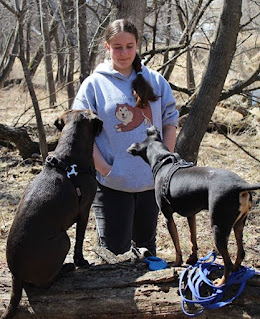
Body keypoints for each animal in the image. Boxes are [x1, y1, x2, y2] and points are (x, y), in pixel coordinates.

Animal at [2, 109, 103, 318]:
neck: (68, 160)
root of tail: (16, 275)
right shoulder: (84, 210)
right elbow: (80, 241)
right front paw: (81, 262)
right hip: (64, 240)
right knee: (45, 283)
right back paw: (66, 268)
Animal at [127, 126, 260, 286]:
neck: (164, 161)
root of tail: (240, 186)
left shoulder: (167, 217)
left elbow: (177, 244)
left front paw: (177, 263)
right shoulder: (191, 214)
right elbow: (193, 238)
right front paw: (193, 259)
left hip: (218, 228)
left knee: (227, 262)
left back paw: (220, 282)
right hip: (239, 224)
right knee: (241, 253)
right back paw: (235, 270)